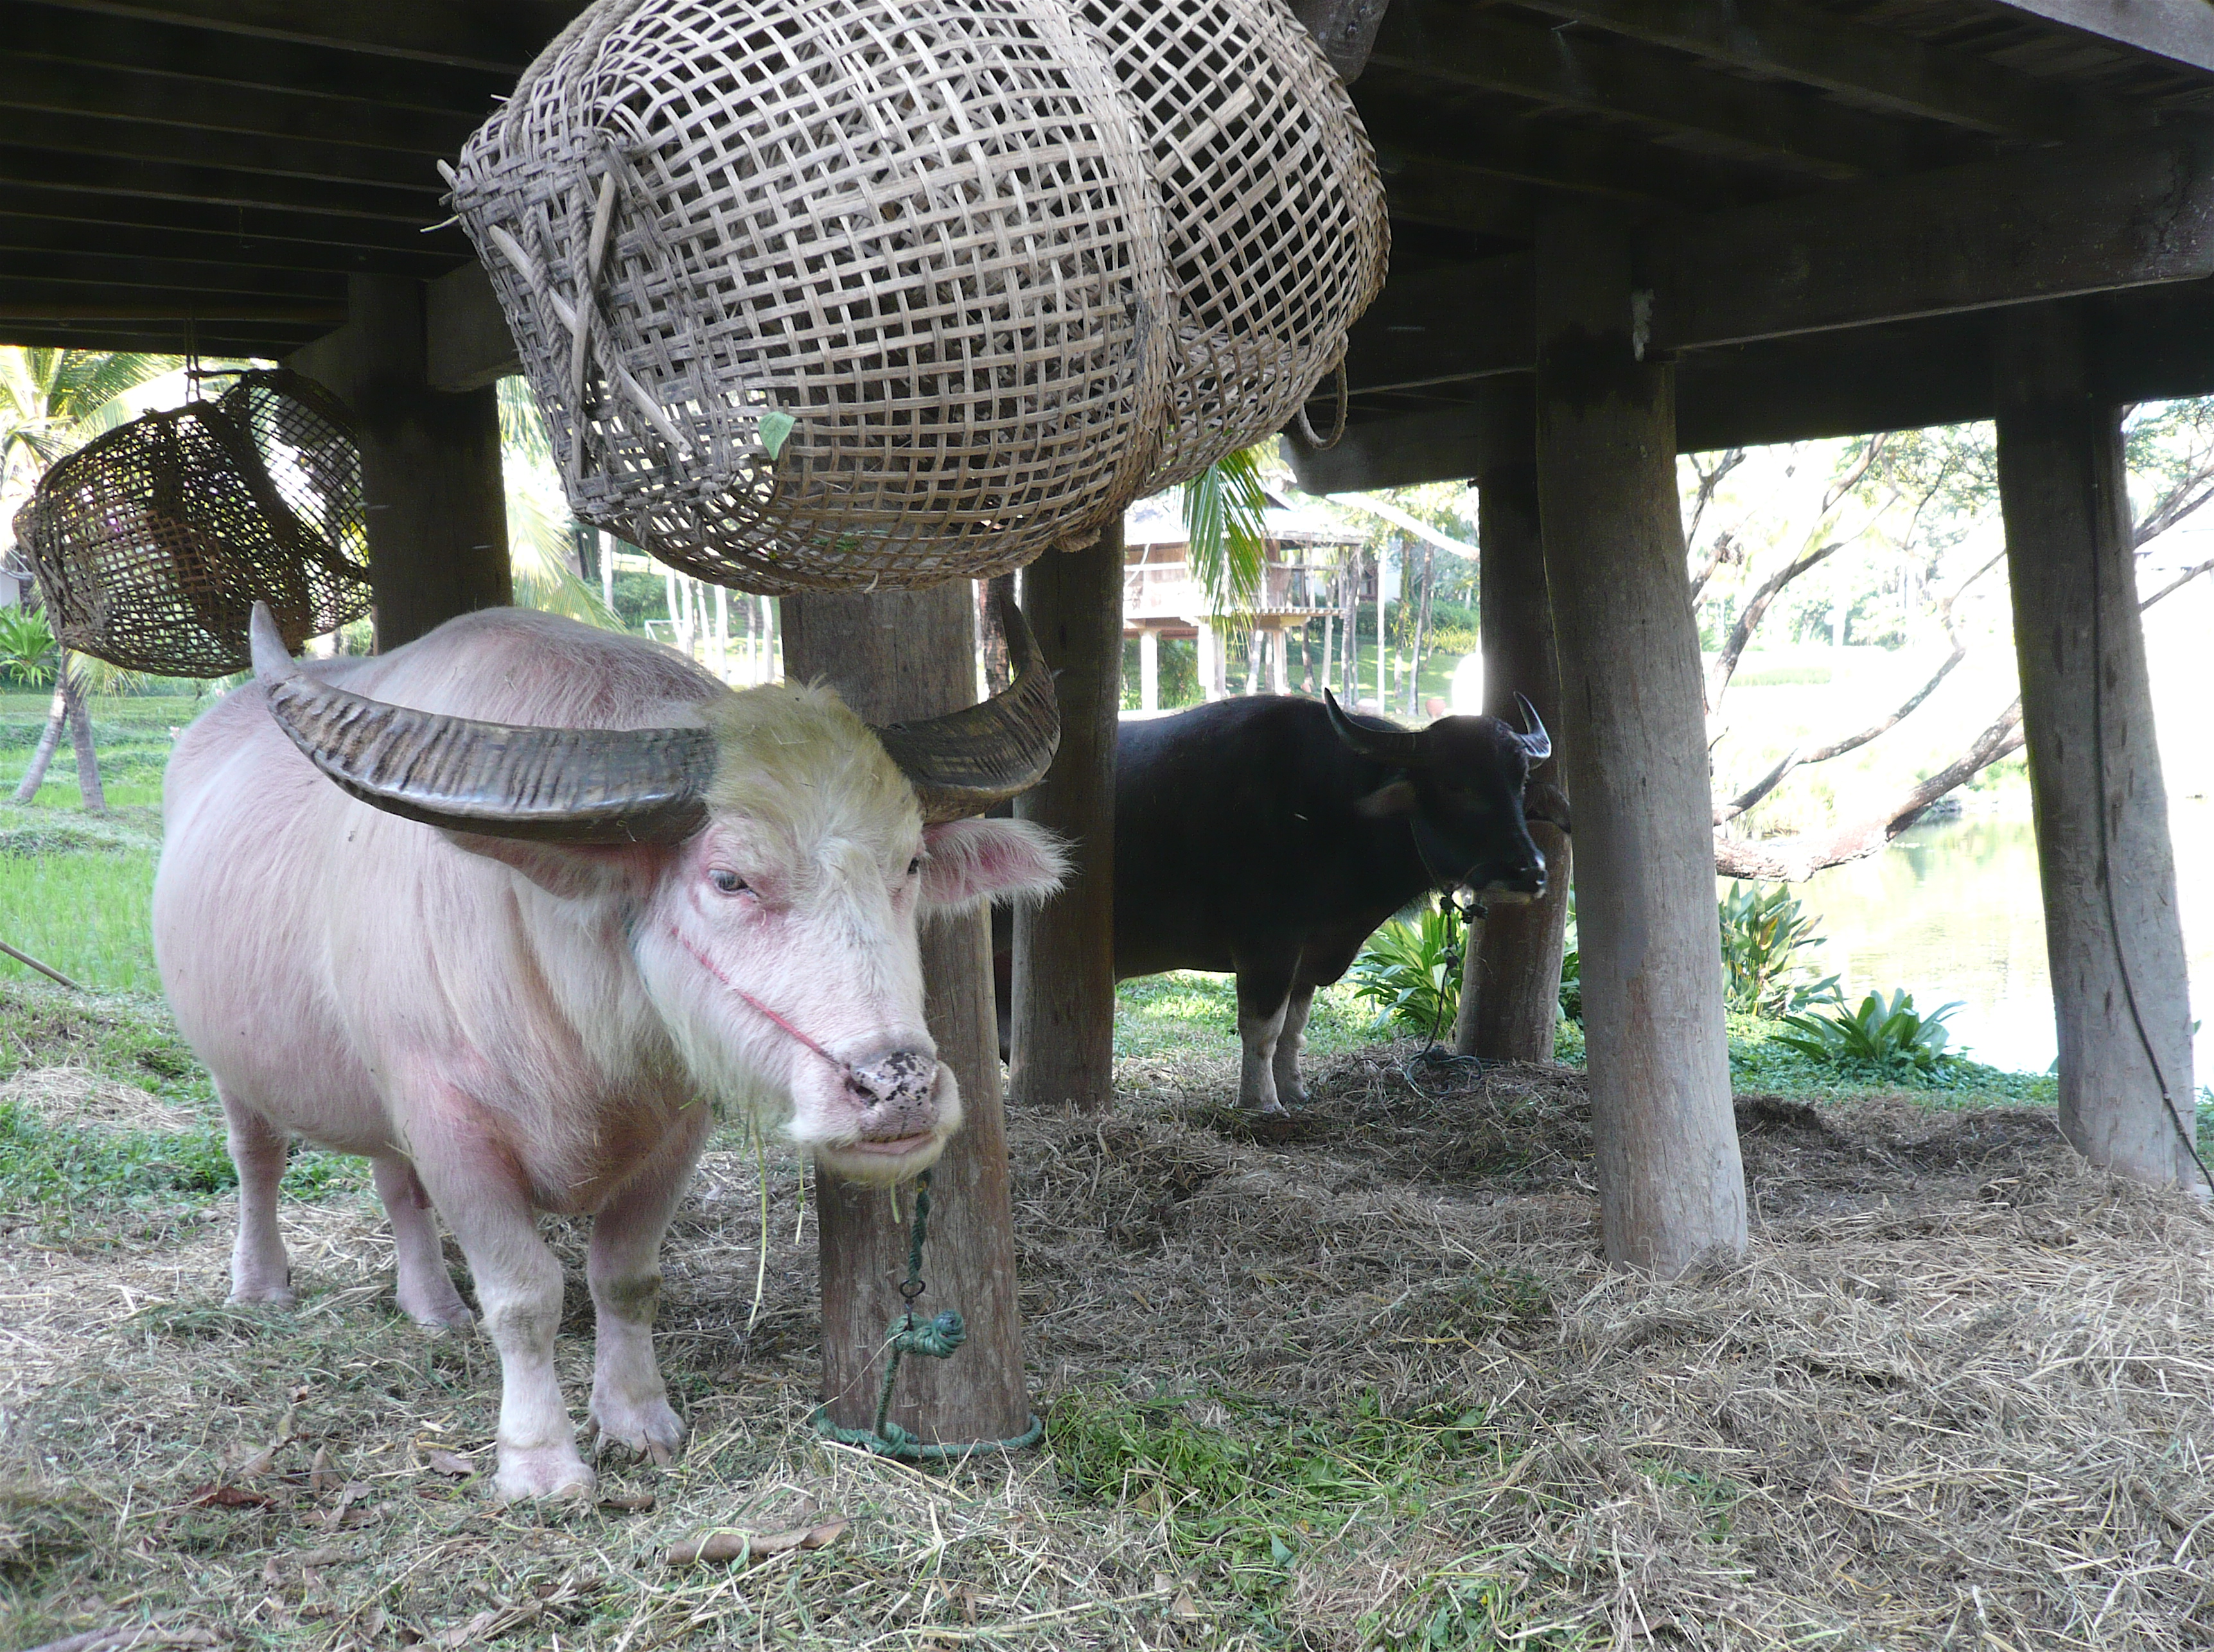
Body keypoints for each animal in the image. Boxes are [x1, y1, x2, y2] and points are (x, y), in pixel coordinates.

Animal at [156, 602, 1062, 1497]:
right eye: (729, 879)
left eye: (911, 862)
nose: (898, 1086)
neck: (570, 993)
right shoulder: (449, 1122)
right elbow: (524, 1294)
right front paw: (540, 1461)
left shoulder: (672, 1128)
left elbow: (625, 1277)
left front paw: (637, 1417)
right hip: (234, 1068)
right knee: (258, 1158)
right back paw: (260, 1285)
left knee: (394, 1182)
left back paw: (433, 1305)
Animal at [1001, 686, 1558, 1111]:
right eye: (1456, 784)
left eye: (1519, 781)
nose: (1530, 872)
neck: (1333, 814)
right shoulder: (1266, 943)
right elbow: (1262, 1028)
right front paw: (1261, 1102)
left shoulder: (1309, 954)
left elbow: (1294, 1029)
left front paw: (1294, 1091)